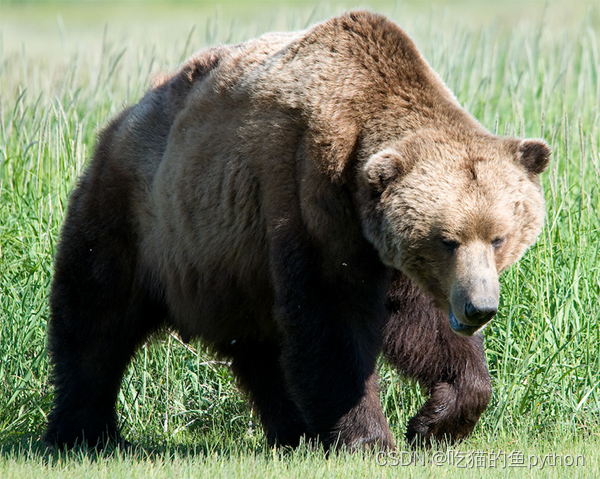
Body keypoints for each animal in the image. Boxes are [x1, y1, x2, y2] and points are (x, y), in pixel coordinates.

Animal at [44, 12, 552, 454]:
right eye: (446, 240)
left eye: (499, 237)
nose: (478, 308)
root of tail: (124, 116)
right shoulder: (310, 195)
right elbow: (332, 318)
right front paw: (370, 438)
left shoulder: (385, 249)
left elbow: (421, 326)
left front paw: (434, 422)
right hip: (139, 217)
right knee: (94, 319)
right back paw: (83, 432)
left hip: (232, 267)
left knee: (260, 350)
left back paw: (293, 431)